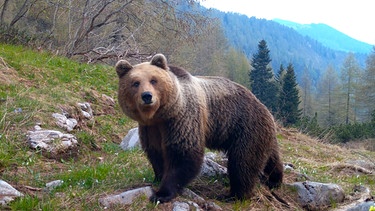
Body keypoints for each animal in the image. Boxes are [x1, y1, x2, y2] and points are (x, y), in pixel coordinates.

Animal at [116, 53, 284, 202]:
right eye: (135, 83)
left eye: (153, 80)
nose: (147, 96)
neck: (161, 114)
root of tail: (265, 108)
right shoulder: (150, 128)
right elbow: (156, 152)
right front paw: (158, 176)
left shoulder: (182, 118)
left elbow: (183, 154)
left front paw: (162, 193)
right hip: (259, 133)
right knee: (270, 157)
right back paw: (275, 180)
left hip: (245, 127)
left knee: (243, 163)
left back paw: (234, 195)